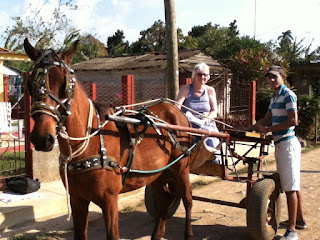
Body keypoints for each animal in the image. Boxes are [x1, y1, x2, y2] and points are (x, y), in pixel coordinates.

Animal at [23, 38, 194, 239]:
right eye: (30, 84)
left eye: (65, 84)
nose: (42, 138)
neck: (90, 144)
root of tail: (175, 110)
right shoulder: (77, 200)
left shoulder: (110, 200)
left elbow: (113, 234)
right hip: (157, 174)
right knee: (163, 203)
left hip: (181, 168)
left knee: (188, 201)